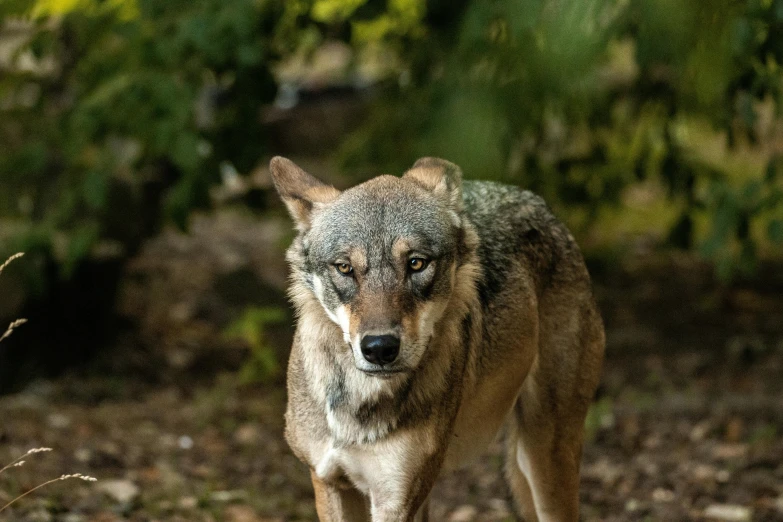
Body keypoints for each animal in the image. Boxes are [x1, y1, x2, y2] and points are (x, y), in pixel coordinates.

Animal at [270, 155, 608, 520]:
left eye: (417, 263)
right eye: (345, 268)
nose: (380, 348)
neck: (359, 407)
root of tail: (538, 203)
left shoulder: (396, 499)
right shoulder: (328, 482)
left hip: (544, 460)